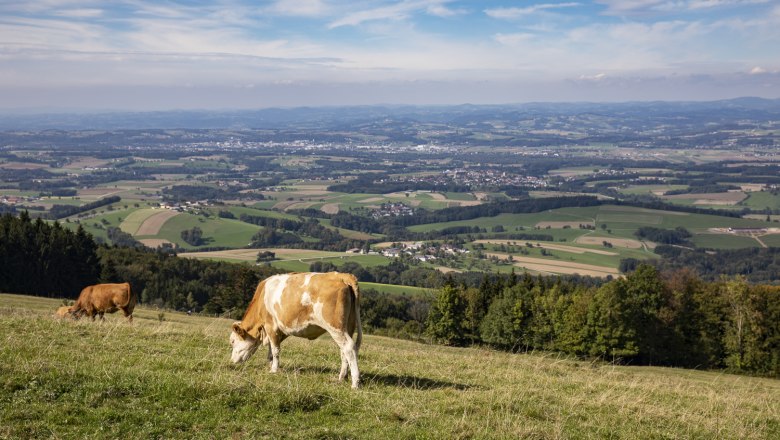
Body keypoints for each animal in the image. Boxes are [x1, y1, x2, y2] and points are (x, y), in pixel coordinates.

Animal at [230, 272, 364, 388]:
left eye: (232, 341)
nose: (232, 361)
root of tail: (342, 276)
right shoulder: (279, 330)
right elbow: (271, 350)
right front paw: (270, 364)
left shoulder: (271, 325)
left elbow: (275, 350)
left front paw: (274, 369)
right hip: (348, 326)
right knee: (344, 351)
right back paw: (342, 377)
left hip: (335, 327)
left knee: (349, 347)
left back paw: (355, 383)